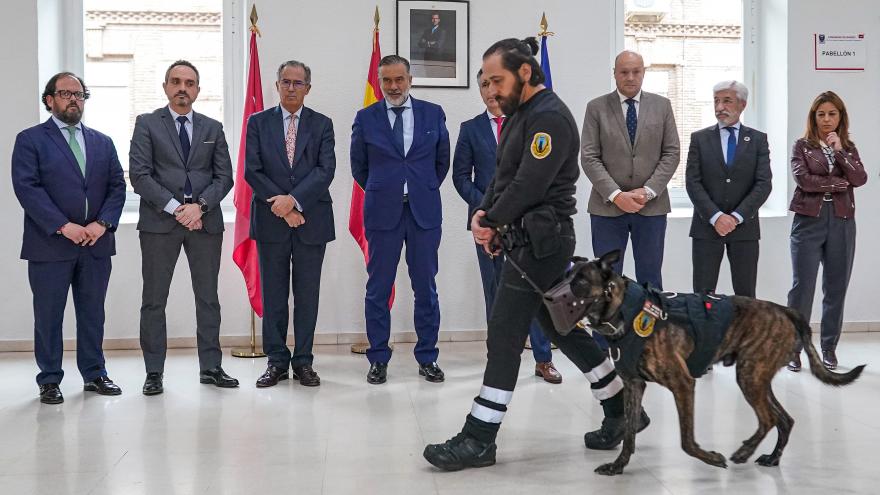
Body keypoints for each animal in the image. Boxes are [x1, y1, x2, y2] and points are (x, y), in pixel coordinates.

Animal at [572, 252, 868, 476]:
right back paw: (772, 457)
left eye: (581, 281)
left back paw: (745, 451)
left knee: (769, 418)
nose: (558, 296)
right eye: (568, 277)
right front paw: (617, 466)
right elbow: (630, 435)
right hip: (757, 377)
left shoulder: (683, 384)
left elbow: (686, 441)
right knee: (785, 419)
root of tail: (784, 310)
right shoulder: (634, 386)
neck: (627, 310)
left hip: (749, 376)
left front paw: (712, 458)